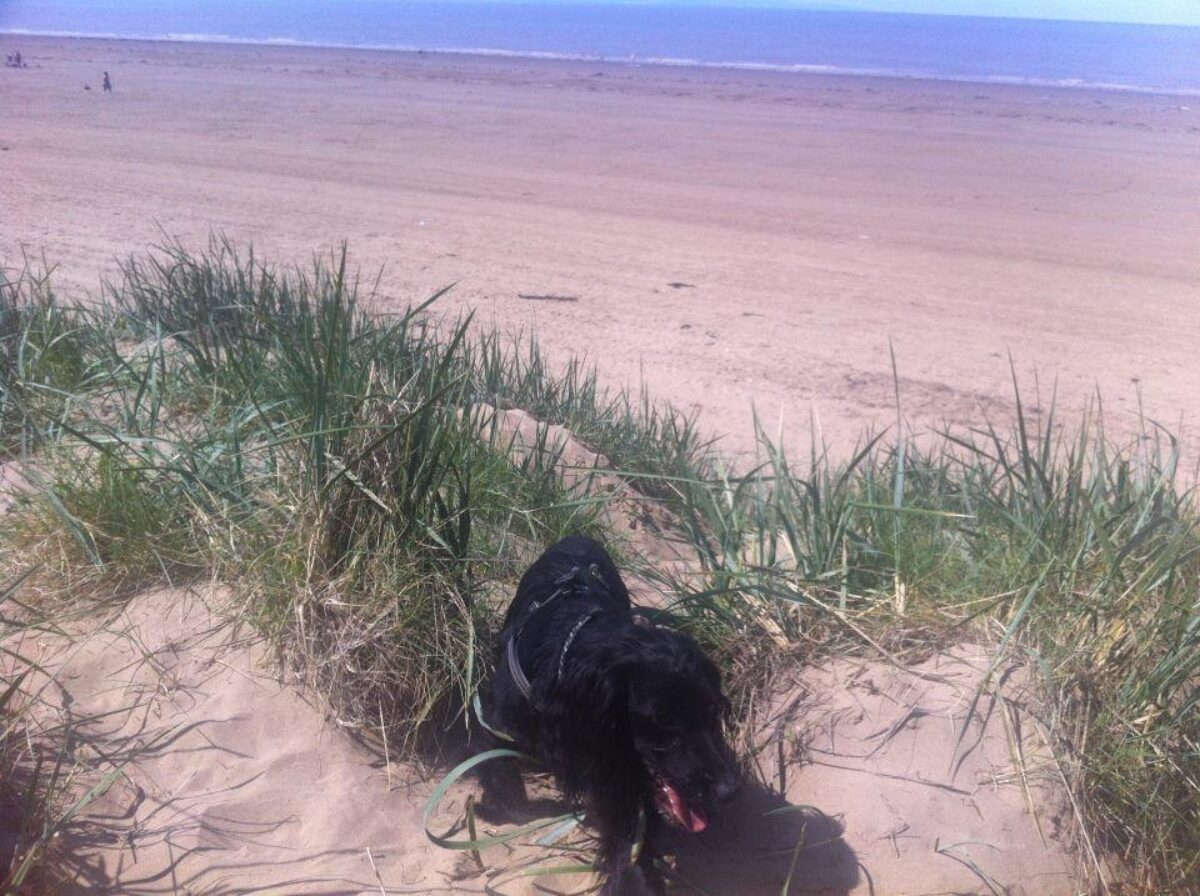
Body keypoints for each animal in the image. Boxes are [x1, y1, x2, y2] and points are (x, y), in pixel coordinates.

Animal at [477, 537, 739, 892]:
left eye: (711, 711)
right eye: (664, 720)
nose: (729, 792)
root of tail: (577, 536)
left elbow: (629, 841)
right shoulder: (497, 718)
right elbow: (500, 769)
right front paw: (500, 808)